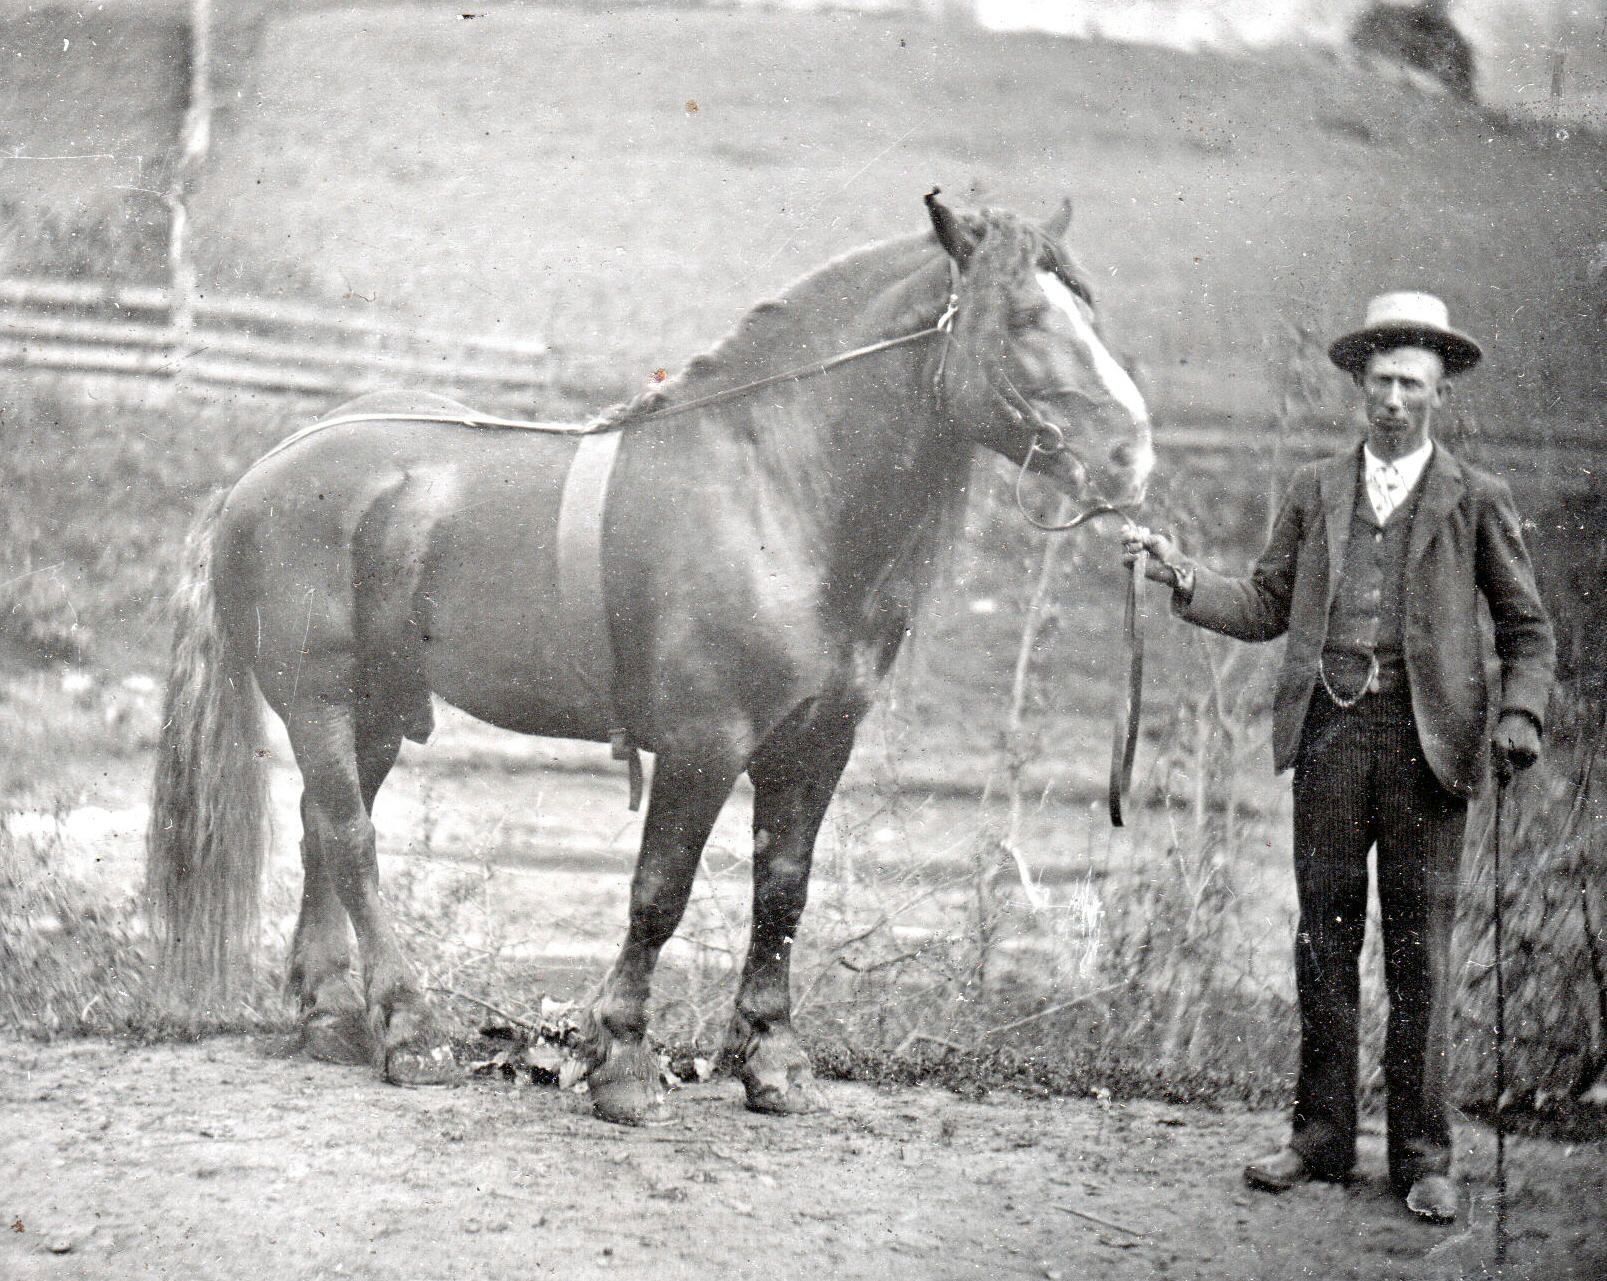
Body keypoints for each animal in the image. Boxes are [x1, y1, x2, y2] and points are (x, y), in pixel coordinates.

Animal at [146, 191, 1153, 1124]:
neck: (769, 492)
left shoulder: (816, 742)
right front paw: (622, 1061)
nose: (1128, 456)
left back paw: (329, 1016)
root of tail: (265, 468)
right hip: (317, 701)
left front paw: (772, 1059)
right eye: (1022, 318)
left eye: (1089, 312)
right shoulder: (704, 741)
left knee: (323, 829)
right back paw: (408, 1029)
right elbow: (658, 894)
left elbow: (782, 891)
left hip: (381, 709)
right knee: (351, 840)